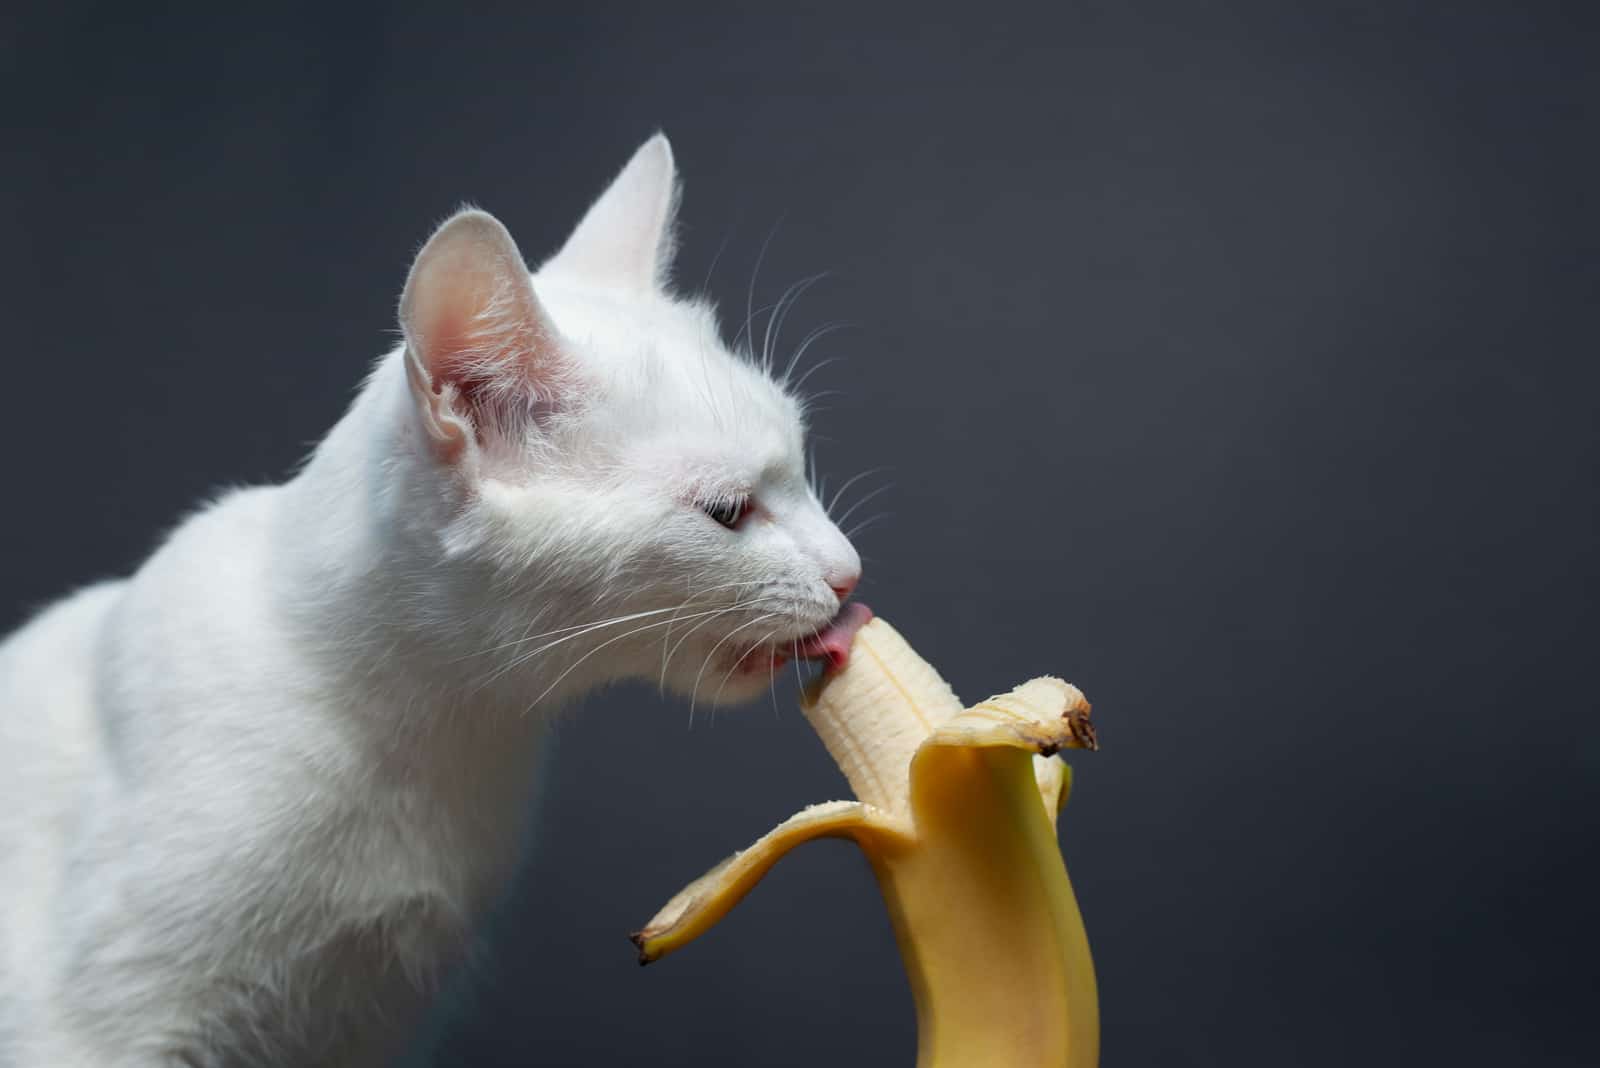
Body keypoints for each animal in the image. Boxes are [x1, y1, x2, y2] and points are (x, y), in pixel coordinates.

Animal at [0, 135, 864, 1068]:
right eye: (728, 512)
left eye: (800, 461)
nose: (851, 574)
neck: (432, 736)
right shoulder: (90, 1029)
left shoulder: (369, 1027)